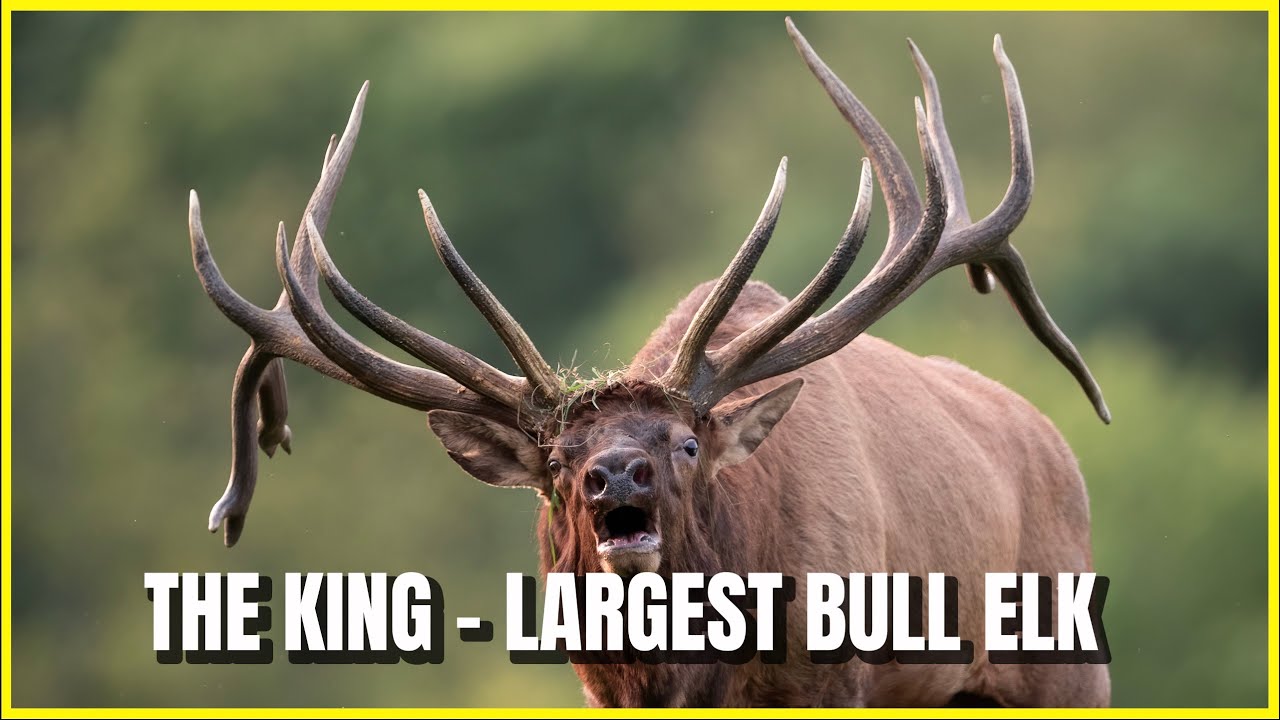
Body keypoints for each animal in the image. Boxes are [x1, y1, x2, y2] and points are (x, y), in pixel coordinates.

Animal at [187, 19, 1111, 708]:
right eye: (558, 463)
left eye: (688, 444)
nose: (618, 476)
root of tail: (1058, 446)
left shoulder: (835, 673)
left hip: (1065, 665)